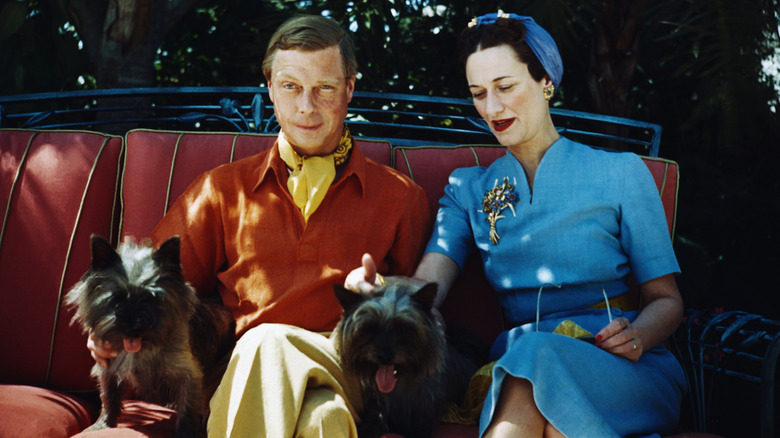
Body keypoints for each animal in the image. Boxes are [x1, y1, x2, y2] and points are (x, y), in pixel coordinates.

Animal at [66, 236, 235, 438]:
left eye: (151, 298)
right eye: (116, 299)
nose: (133, 328)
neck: (144, 348)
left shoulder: (189, 375)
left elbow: (187, 408)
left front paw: (185, 433)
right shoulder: (107, 368)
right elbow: (109, 396)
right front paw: (104, 424)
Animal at [330, 278, 476, 436]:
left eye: (403, 328)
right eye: (370, 328)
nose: (384, 356)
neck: (397, 386)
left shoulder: (424, 415)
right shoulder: (377, 405)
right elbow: (376, 418)